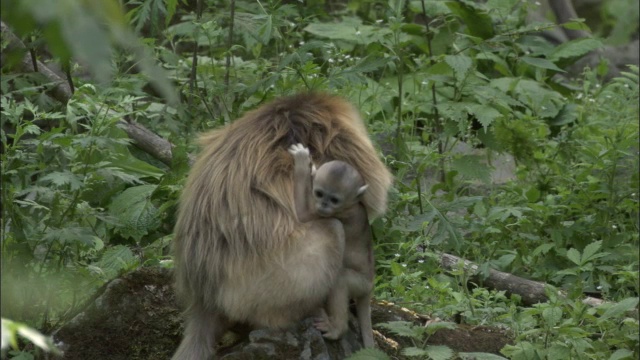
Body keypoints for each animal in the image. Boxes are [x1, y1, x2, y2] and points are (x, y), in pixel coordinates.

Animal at [288, 143, 376, 348]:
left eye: (334, 200)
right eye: (320, 194)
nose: (323, 205)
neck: (353, 205)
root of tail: (370, 287)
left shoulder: (340, 213)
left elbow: (303, 214)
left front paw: (302, 164)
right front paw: (310, 169)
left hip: (360, 284)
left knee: (340, 280)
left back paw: (337, 329)